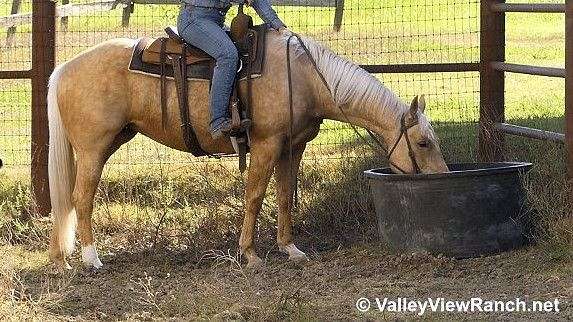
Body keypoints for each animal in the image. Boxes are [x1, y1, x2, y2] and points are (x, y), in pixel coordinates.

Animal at [47, 31, 450, 270]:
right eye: (423, 142)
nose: (442, 178)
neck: (303, 77)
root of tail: (64, 68)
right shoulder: (266, 144)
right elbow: (255, 195)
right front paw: (250, 254)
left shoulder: (292, 148)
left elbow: (284, 195)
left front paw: (290, 249)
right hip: (94, 148)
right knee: (81, 197)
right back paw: (91, 259)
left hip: (109, 142)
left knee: (69, 200)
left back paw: (65, 258)